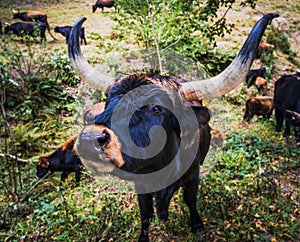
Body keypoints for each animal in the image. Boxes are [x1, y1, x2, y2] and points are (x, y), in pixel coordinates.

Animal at [68, 13, 278, 242]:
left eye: (157, 108)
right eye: (108, 100)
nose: (90, 139)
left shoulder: (192, 175)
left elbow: (190, 200)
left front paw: (197, 225)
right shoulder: (141, 182)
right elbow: (145, 213)